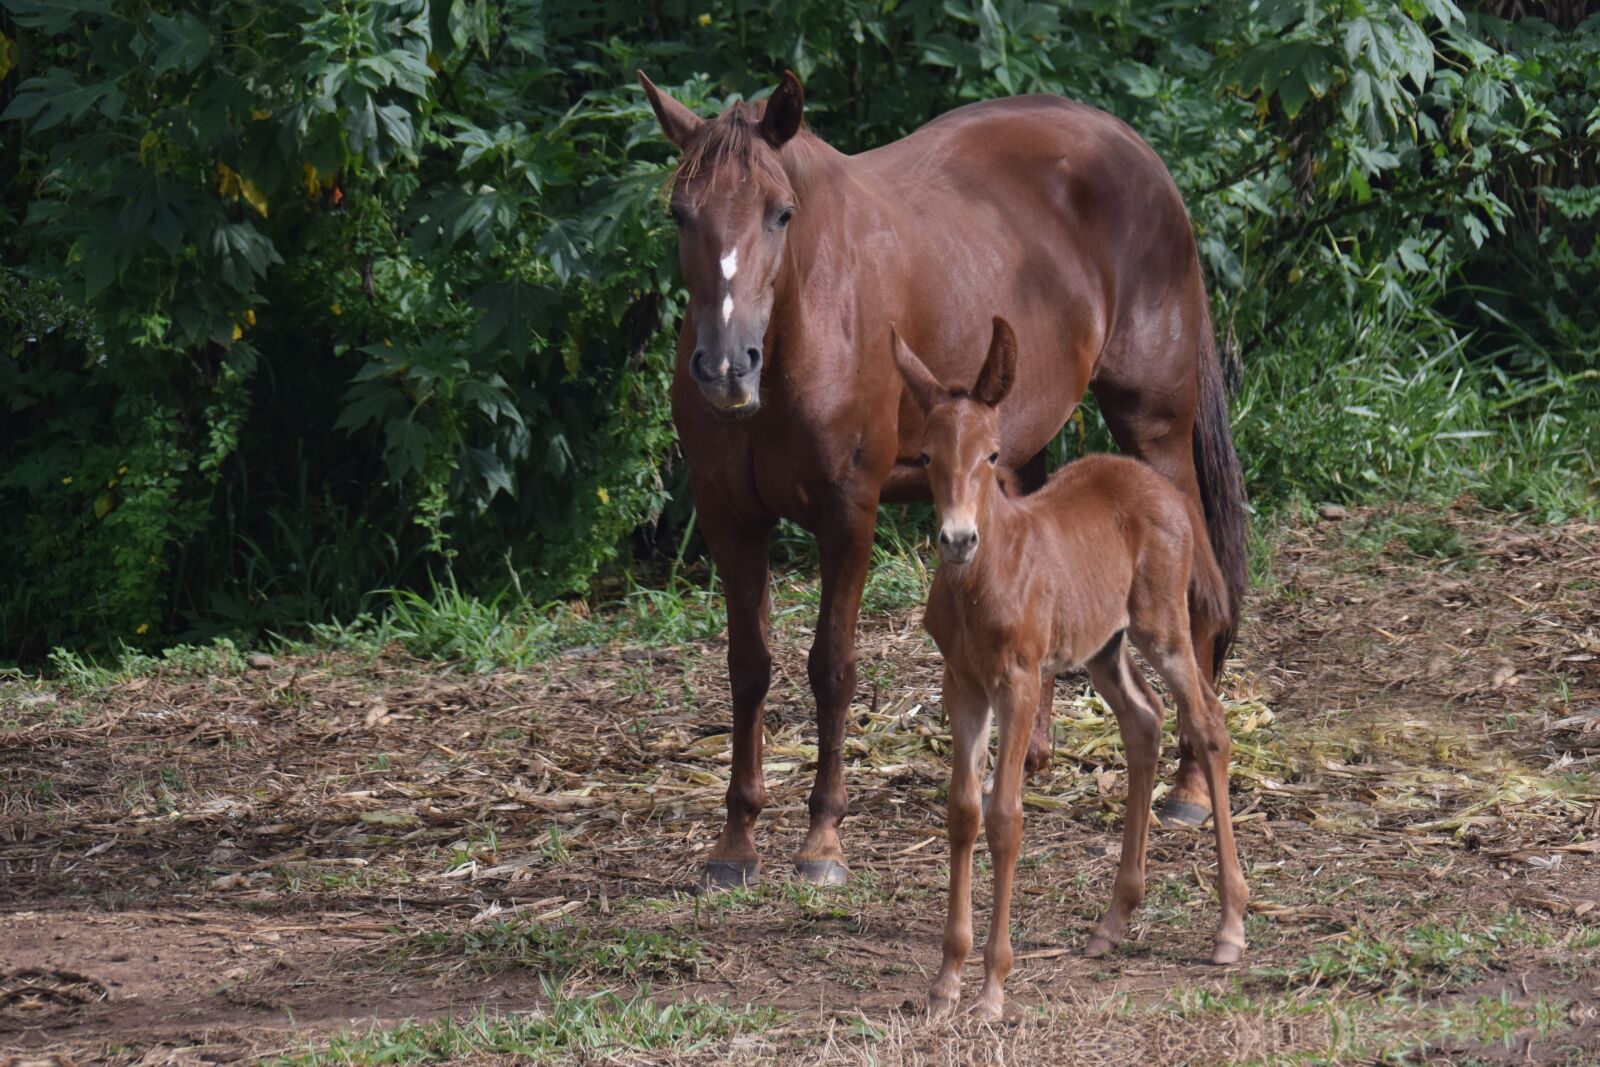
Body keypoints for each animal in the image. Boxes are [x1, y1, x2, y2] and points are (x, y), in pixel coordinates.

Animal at [636, 69, 1247, 888]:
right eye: (680, 212)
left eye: (780, 213)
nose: (727, 367)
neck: (807, 313)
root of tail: (1134, 149)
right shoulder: (729, 517)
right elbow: (748, 667)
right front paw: (736, 840)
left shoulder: (848, 513)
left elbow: (831, 666)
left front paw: (822, 837)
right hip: (1018, 447)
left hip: (1154, 426)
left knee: (1199, 584)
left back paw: (1188, 787)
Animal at [894, 318, 1247, 1020]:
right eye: (925, 456)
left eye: (993, 455)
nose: (957, 539)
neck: (985, 578)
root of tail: (1167, 490)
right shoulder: (963, 684)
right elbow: (963, 811)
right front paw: (946, 981)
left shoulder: (1021, 680)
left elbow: (1006, 818)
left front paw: (993, 988)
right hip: (1102, 645)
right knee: (1145, 720)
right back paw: (1113, 921)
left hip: (1161, 626)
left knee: (1208, 723)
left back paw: (1229, 926)